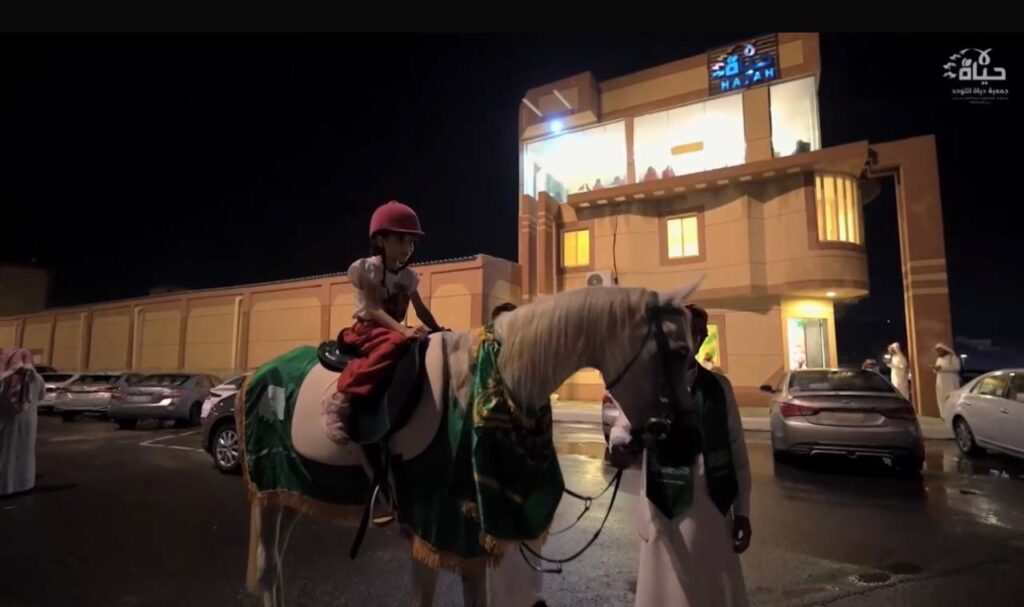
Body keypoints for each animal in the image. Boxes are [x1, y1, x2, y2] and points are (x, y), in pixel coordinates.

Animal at [239, 279, 705, 607]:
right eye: (679, 352)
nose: (688, 442)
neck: (488, 385)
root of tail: (256, 375)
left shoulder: (469, 535)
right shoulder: (434, 527)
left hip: (295, 489)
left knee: (275, 565)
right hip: (269, 488)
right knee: (267, 570)